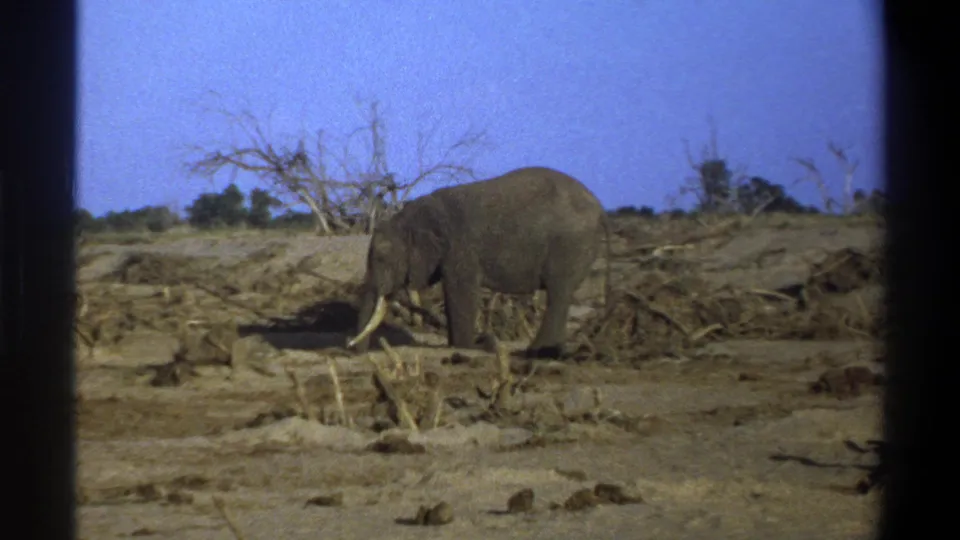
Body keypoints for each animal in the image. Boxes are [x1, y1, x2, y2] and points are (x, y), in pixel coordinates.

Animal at [347, 166, 611, 359]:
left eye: (382, 258)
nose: (352, 350)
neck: (410, 216)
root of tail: (600, 208)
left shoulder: (461, 248)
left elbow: (460, 291)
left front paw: (466, 347)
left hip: (569, 244)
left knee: (558, 292)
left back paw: (537, 353)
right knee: (561, 295)